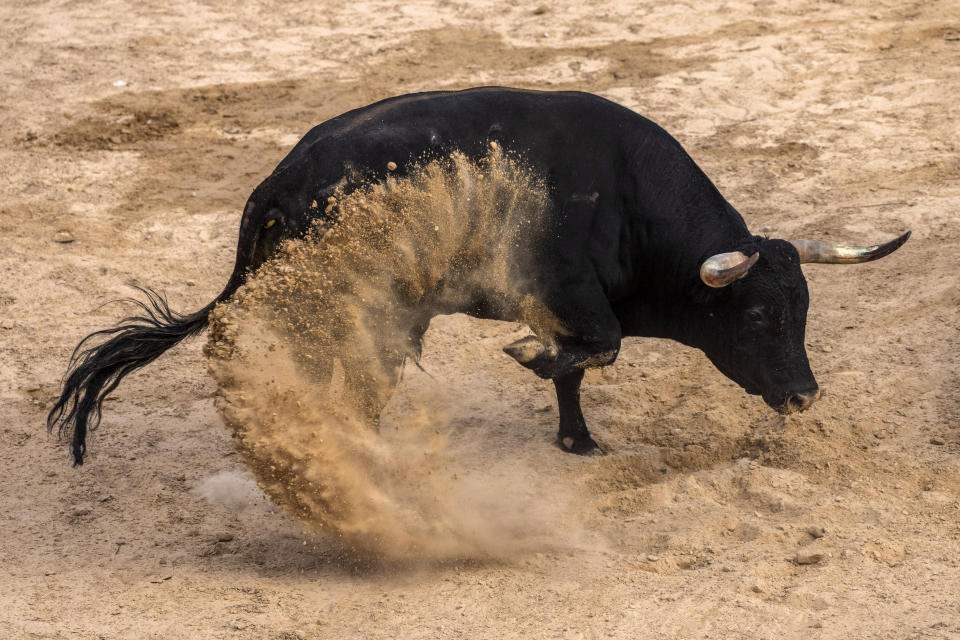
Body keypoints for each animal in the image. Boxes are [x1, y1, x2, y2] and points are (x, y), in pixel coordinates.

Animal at [50, 86, 908, 464]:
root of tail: (277, 182)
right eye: (762, 316)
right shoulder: (572, 297)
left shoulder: (571, 306)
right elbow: (595, 349)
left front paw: (577, 441)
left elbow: (581, 367)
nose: (804, 396)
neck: (626, 197)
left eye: (804, 311)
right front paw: (527, 359)